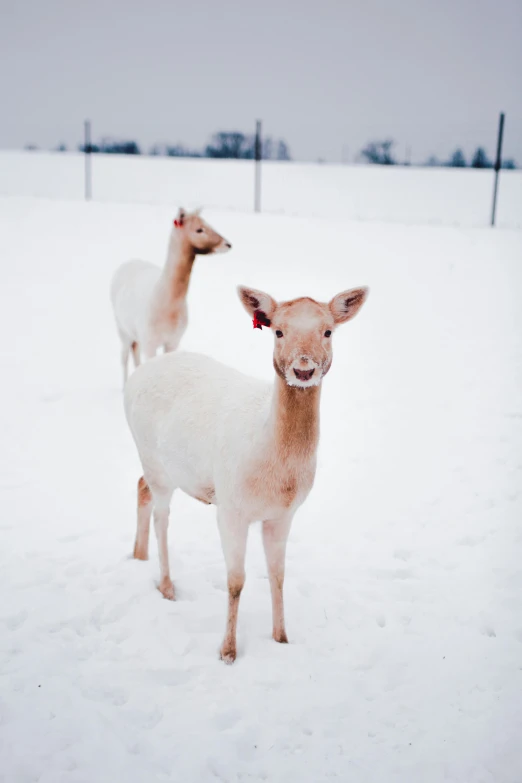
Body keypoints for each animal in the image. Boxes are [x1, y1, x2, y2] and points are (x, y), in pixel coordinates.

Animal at [109, 208, 230, 386]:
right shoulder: (150, 342)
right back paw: (124, 385)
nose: (228, 244)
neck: (166, 303)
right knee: (124, 356)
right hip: (121, 327)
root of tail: (128, 263)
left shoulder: (173, 341)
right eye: (199, 229)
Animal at [124, 282, 368, 660]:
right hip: (151, 456)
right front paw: (228, 650)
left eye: (328, 331)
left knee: (140, 487)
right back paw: (166, 585)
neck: (276, 472)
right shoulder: (230, 507)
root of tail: (138, 373)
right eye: (278, 331)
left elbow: (278, 574)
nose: (303, 370)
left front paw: (281, 638)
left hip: (159, 465)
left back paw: (139, 556)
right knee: (161, 515)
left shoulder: (283, 514)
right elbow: (236, 581)